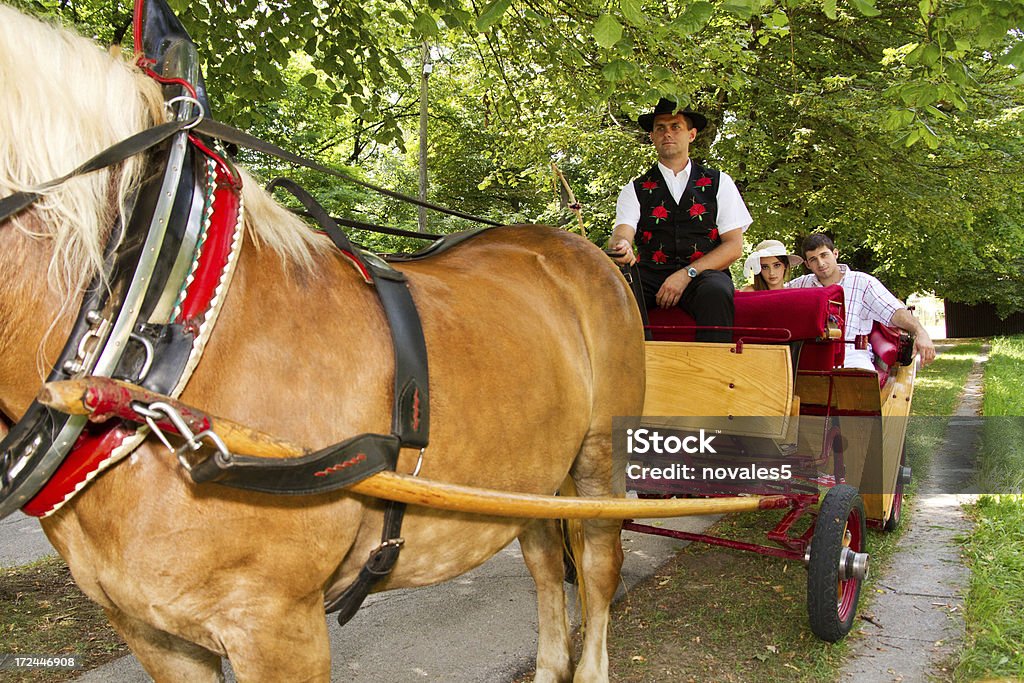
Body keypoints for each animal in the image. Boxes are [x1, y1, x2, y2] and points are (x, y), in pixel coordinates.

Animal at [0, 6, 647, 683]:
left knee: (598, 566)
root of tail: (580, 246)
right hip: (527, 476)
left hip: (598, 455)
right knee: (545, 562)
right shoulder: (152, 631)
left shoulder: (275, 623)